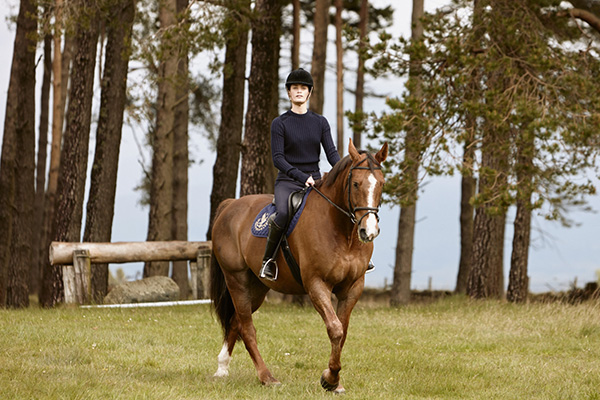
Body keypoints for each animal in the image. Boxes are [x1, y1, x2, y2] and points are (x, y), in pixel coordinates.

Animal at [210, 138, 390, 394]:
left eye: (382, 184)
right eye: (356, 184)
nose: (369, 231)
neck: (341, 231)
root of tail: (230, 205)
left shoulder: (353, 287)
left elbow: (342, 332)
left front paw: (334, 380)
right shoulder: (317, 284)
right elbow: (335, 328)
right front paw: (330, 379)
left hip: (257, 287)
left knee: (236, 322)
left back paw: (222, 368)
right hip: (237, 280)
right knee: (246, 327)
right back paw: (266, 377)